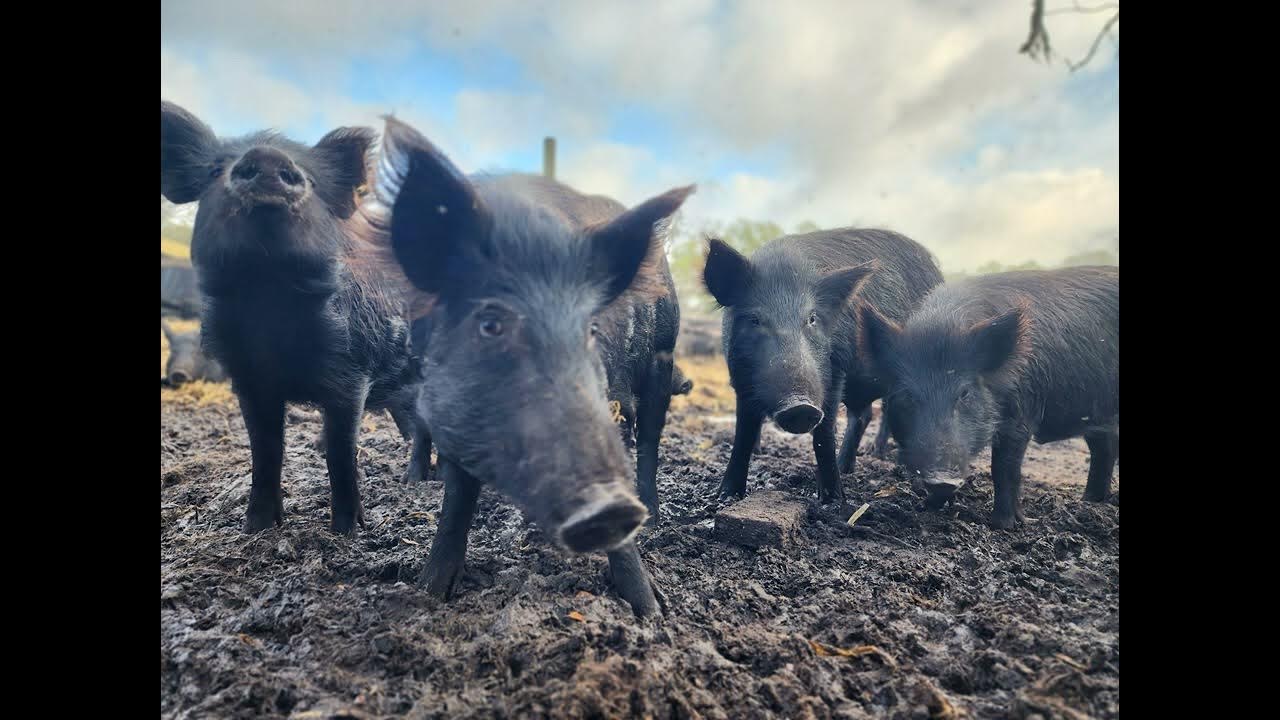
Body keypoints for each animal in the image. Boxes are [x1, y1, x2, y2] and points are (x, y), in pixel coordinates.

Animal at [159, 101, 432, 535]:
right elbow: (265, 449)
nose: (268, 158)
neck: (270, 304)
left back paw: (415, 481)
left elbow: (340, 453)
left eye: (314, 181)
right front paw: (255, 529)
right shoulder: (249, 380)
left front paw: (346, 531)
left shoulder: (351, 372)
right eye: (214, 170)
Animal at [372, 116, 693, 616]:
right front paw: (427, 594)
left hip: (663, 356)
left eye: (591, 329)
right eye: (490, 324)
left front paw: (651, 612)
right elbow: (455, 505)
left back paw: (654, 514)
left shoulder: (612, 401)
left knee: (651, 439)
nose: (611, 506)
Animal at [703, 229, 944, 506]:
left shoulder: (836, 368)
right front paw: (726, 496)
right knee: (863, 415)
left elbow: (824, 432)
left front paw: (833, 500)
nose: (800, 406)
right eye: (755, 319)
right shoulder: (739, 375)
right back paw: (847, 466)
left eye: (812, 318)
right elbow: (743, 432)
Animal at [856, 266, 1119, 529]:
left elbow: (1003, 467)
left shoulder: (1021, 413)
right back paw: (1089, 501)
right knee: (1104, 448)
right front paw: (927, 507)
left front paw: (1002, 525)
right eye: (907, 395)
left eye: (964, 392)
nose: (943, 478)